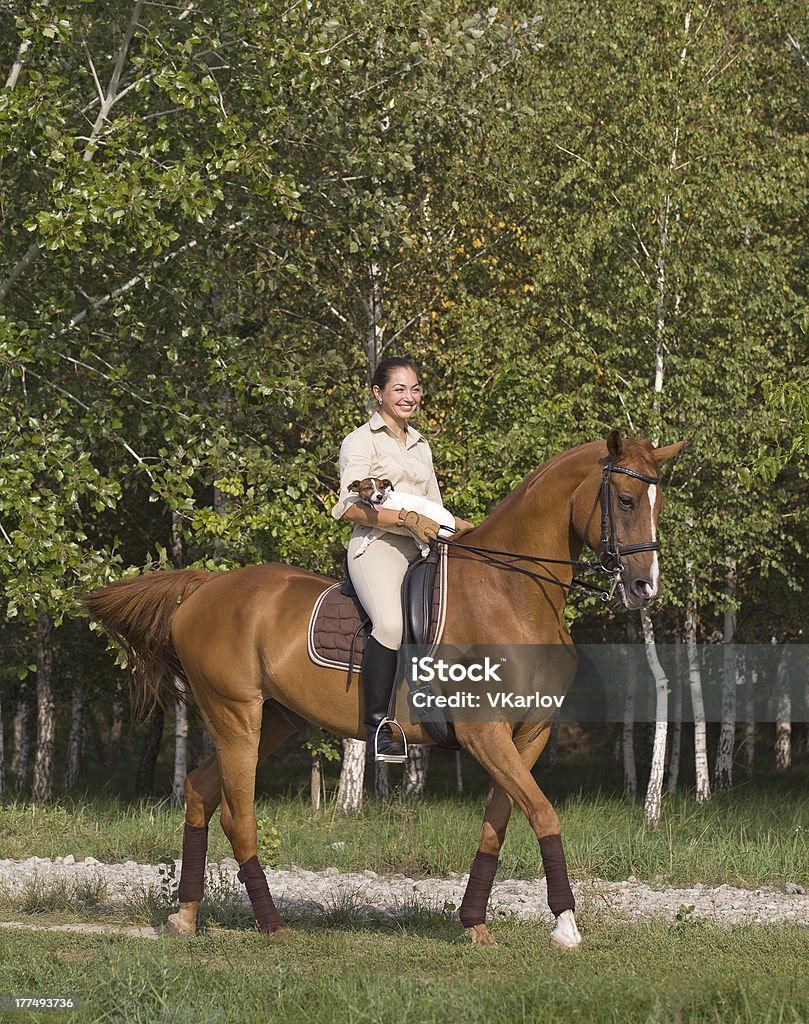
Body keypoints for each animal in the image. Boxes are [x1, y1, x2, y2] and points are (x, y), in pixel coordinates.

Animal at [87, 428, 684, 946]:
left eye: (658, 505)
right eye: (626, 500)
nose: (645, 587)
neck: (512, 594)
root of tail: (204, 586)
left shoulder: (526, 735)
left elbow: (498, 825)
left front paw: (475, 923)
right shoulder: (485, 734)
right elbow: (543, 814)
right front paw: (565, 927)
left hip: (274, 718)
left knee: (199, 792)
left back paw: (185, 917)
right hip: (237, 716)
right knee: (239, 816)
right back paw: (270, 923)